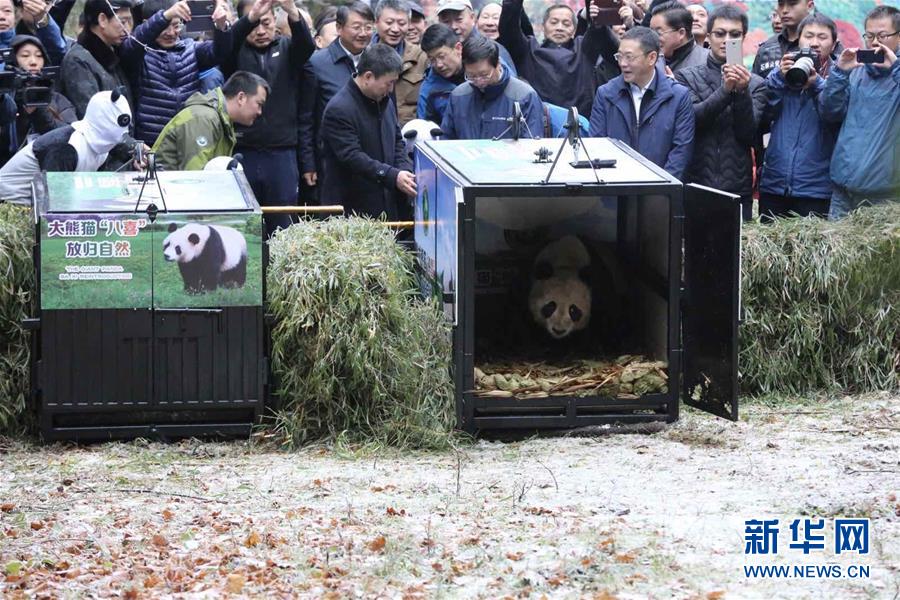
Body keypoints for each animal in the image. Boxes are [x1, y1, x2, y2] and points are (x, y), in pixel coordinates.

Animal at [412, 136, 740, 432]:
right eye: (549, 306)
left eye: (574, 310)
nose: (559, 330)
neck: (566, 261)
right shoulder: (528, 279)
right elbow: (519, 317)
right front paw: (536, 345)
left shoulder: (601, 289)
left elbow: (601, 322)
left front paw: (576, 348)